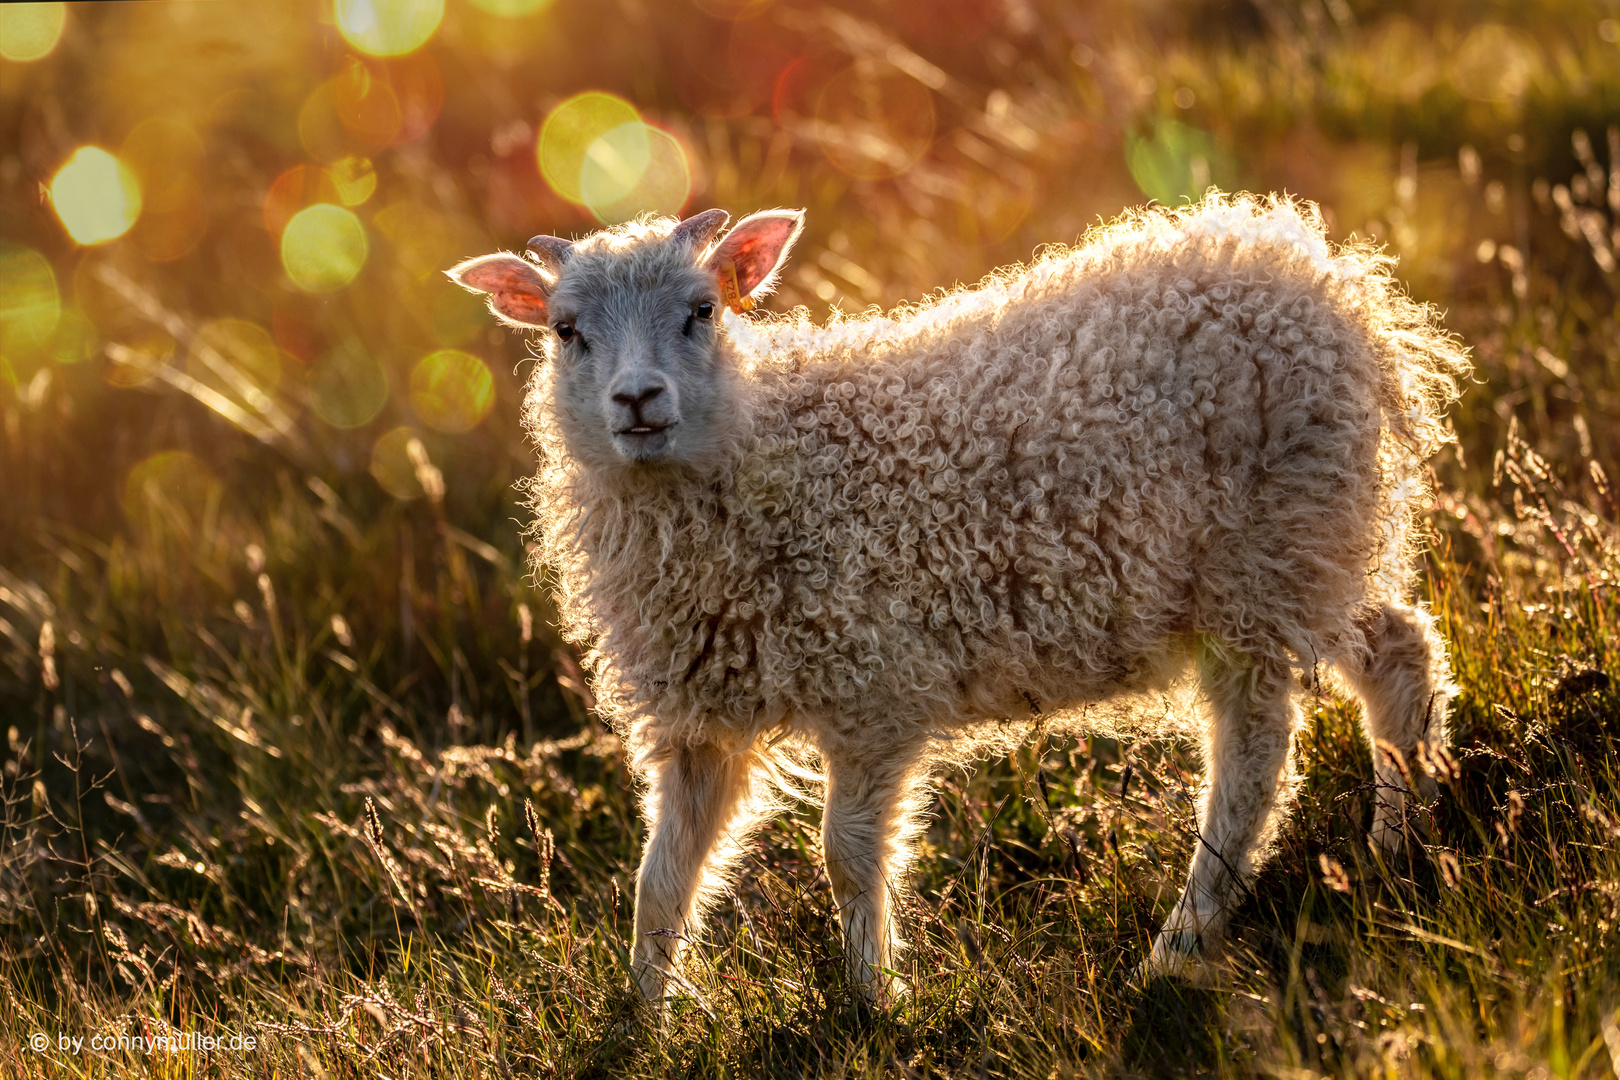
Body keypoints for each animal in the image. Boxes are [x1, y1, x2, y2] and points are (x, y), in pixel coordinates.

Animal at [443, 191, 1470, 1003]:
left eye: (701, 310)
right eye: (565, 331)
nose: (638, 400)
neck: (764, 449)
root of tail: (1330, 282)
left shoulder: (871, 688)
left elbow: (847, 856)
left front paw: (875, 999)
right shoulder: (701, 715)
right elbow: (660, 879)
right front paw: (646, 1017)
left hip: (1258, 562)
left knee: (1254, 758)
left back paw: (1179, 947)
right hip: (1310, 553)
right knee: (1398, 650)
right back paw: (1402, 842)